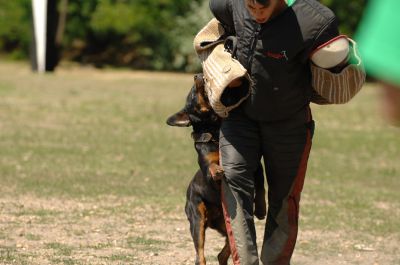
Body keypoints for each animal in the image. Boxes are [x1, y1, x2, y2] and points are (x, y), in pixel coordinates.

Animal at [166, 72, 266, 264]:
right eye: (192, 96)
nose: (197, 75)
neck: (215, 131)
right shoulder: (207, 167)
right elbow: (211, 166)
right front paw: (217, 170)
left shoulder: (256, 166)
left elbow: (260, 189)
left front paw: (261, 209)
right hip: (197, 220)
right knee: (201, 255)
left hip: (228, 226)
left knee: (223, 253)